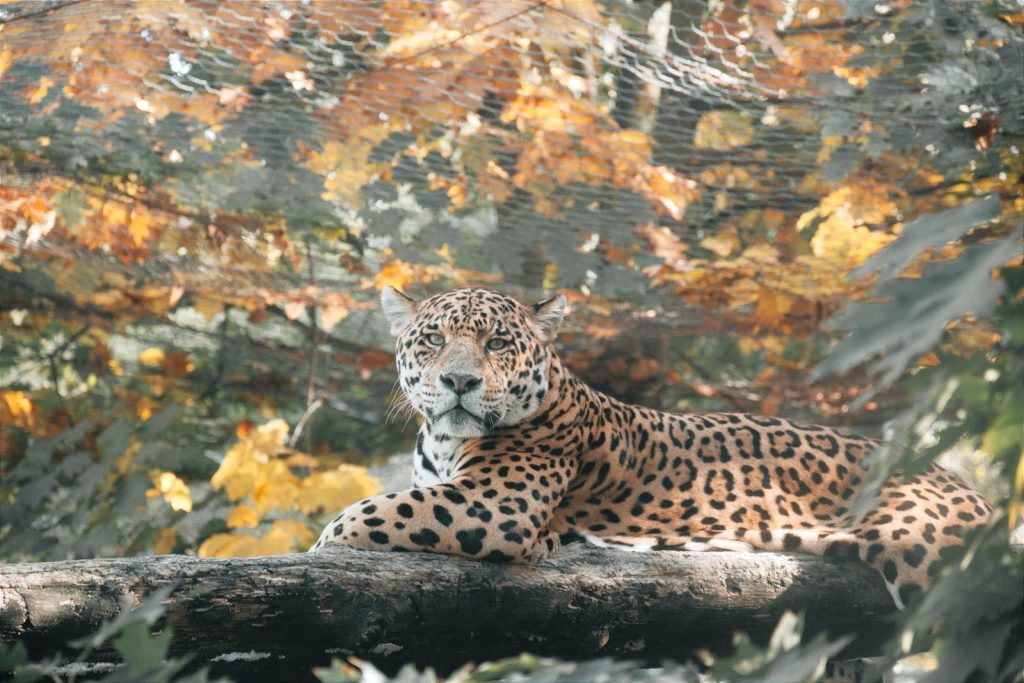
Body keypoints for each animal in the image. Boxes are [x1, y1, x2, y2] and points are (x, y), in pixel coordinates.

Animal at [311, 287, 991, 608]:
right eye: (433, 341)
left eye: (498, 343)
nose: (459, 382)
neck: (444, 439)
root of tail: (956, 479)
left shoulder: (494, 504)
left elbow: (362, 515)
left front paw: (321, 548)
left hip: (930, 553)